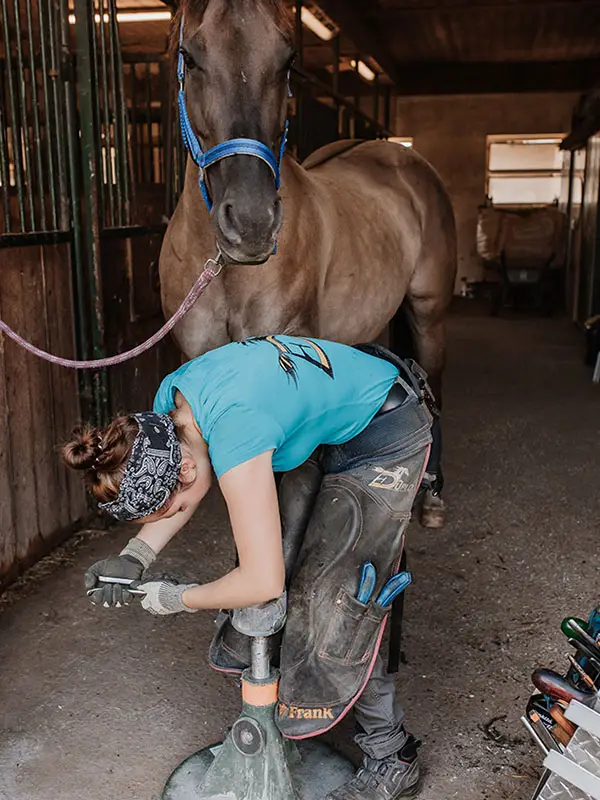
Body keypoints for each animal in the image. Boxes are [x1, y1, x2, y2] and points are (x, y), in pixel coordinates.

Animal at [158, 0, 457, 527]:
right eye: (189, 58)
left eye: (288, 61)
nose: (252, 223)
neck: (229, 272)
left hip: (428, 310)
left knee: (434, 383)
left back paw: (433, 496)